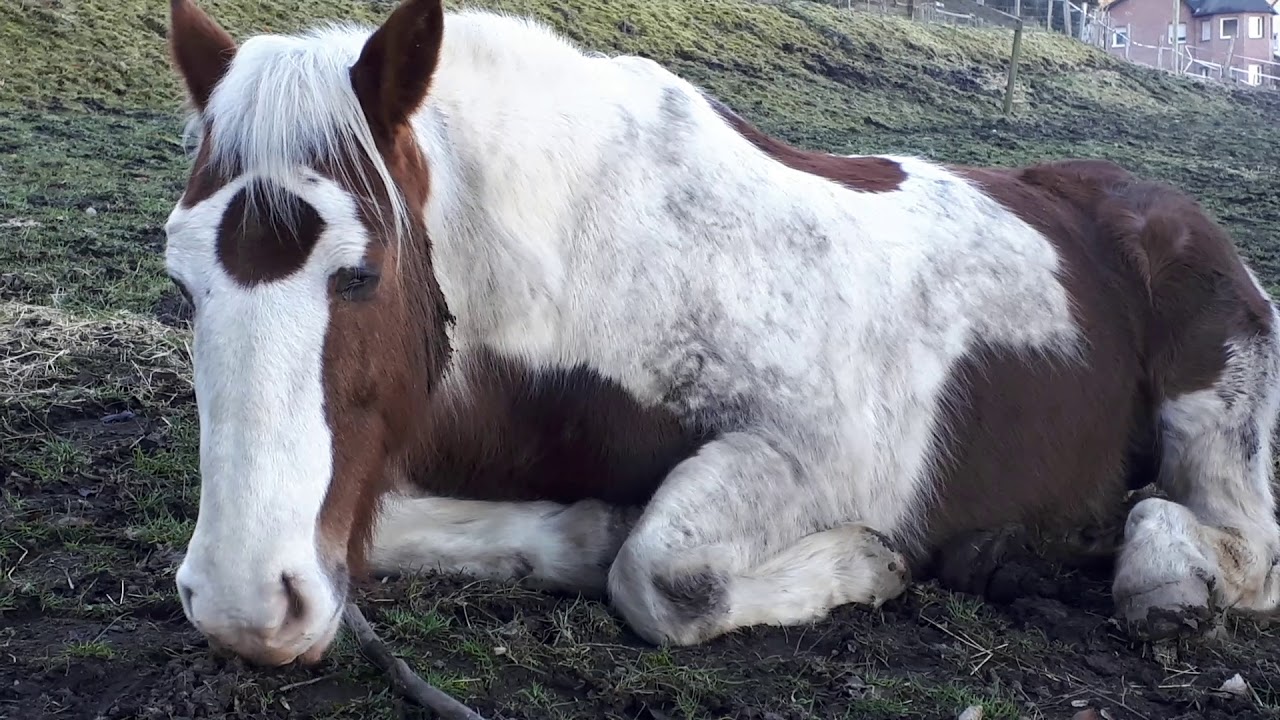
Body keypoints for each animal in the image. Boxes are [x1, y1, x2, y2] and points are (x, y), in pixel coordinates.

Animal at [163, 0, 1280, 667]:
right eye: (182, 284)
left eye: (362, 273)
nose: (243, 607)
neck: (594, 263)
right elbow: (407, 530)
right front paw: (582, 528)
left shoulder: (824, 449)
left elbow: (663, 573)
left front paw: (866, 564)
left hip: (1210, 405)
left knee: (1242, 545)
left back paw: (1160, 571)